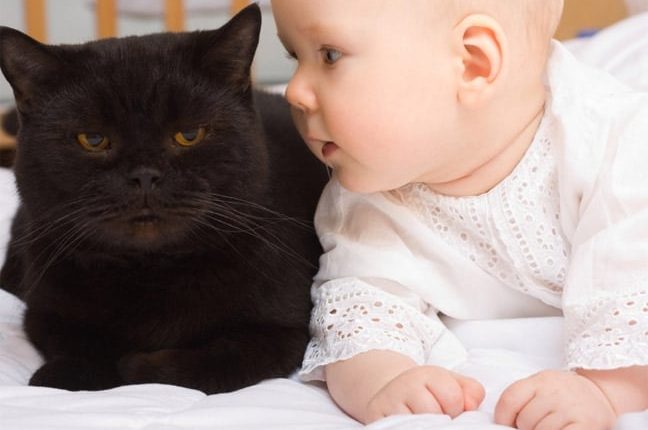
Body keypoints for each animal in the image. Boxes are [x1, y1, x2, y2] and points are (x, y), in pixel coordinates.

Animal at [0, 4, 326, 394]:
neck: (151, 274)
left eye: (189, 135)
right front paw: (62, 376)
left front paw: (136, 365)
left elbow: (204, 364)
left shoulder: (282, 331)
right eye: (92, 140)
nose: (145, 175)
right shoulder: (43, 311)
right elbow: (78, 340)